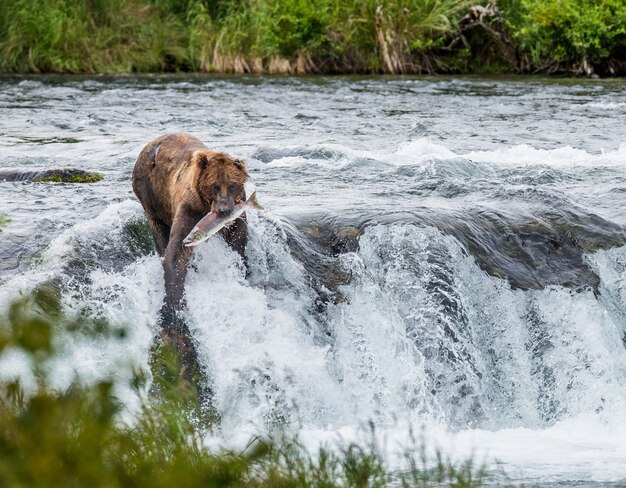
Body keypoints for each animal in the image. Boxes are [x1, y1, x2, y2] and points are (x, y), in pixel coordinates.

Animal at [132, 132, 249, 396]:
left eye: (232, 184)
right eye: (214, 185)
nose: (224, 210)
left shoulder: (238, 217)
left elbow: (240, 247)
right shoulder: (189, 211)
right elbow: (175, 256)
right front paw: (173, 310)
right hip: (149, 196)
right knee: (160, 234)